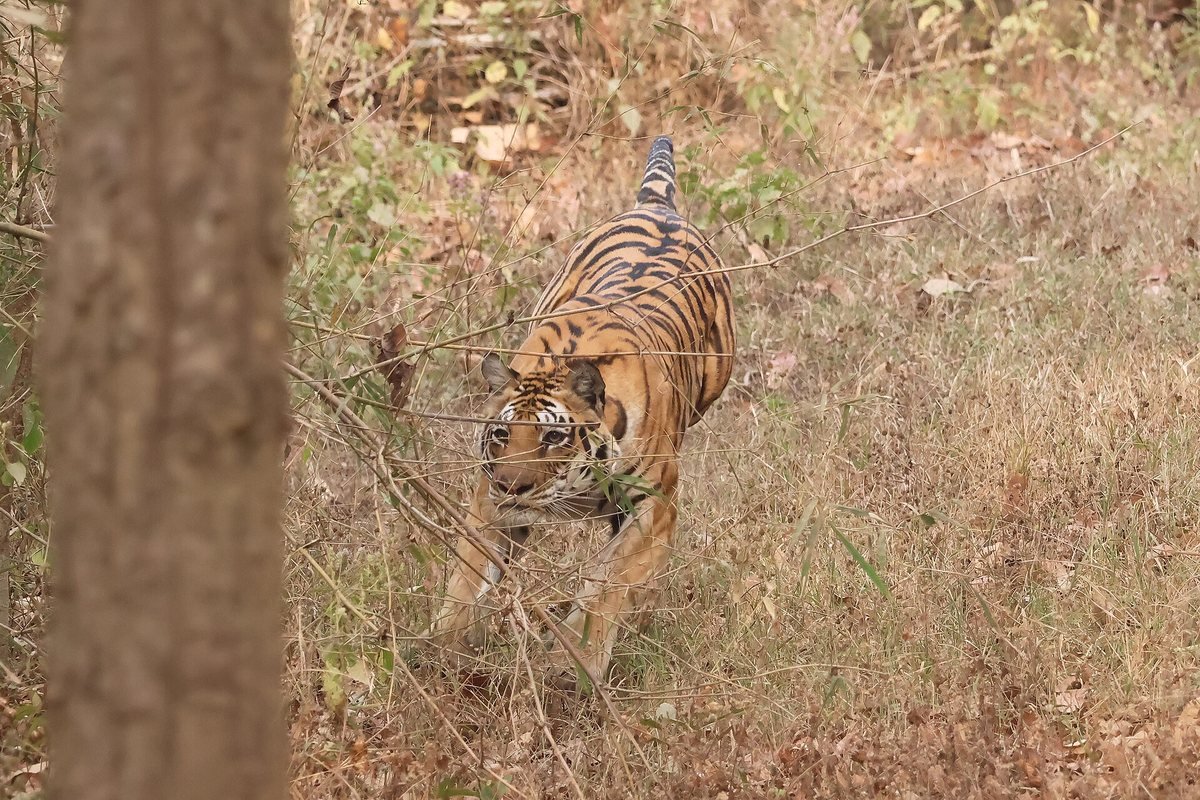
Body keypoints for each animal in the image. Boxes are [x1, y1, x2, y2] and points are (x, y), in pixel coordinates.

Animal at [430, 135, 734, 689]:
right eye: (501, 434)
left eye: (554, 438)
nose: (513, 487)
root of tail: (656, 207)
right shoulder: (488, 498)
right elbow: (469, 568)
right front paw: (442, 646)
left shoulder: (654, 506)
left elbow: (607, 582)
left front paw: (574, 664)